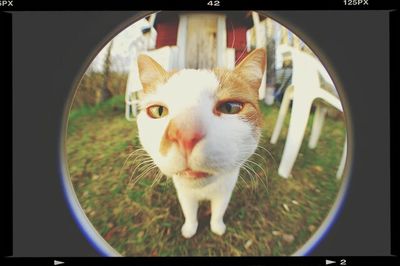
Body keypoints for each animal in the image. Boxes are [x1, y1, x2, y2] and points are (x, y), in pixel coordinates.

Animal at [135, 48, 266, 239]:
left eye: (230, 107)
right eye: (158, 111)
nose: (185, 134)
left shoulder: (225, 191)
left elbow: (218, 212)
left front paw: (217, 227)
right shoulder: (184, 192)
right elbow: (189, 212)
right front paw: (190, 228)